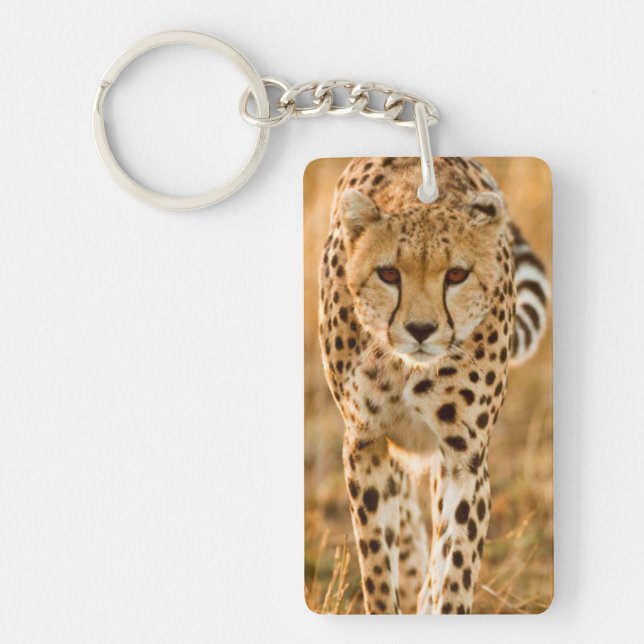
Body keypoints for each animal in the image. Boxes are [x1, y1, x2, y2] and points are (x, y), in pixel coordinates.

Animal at [317, 157, 549, 614]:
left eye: (456, 274)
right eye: (388, 273)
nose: (421, 330)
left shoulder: (465, 456)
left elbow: (456, 561)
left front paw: (441, 601)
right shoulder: (364, 441)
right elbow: (376, 560)